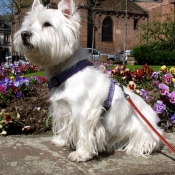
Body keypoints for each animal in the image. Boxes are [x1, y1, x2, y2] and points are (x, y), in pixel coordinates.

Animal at [14, 0, 163, 162]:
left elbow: (83, 133)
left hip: (143, 131)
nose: (24, 34)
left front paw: (81, 154)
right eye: (29, 24)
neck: (66, 72)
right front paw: (61, 140)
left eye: (47, 24)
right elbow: (65, 126)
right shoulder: (62, 108)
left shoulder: (84, 111)